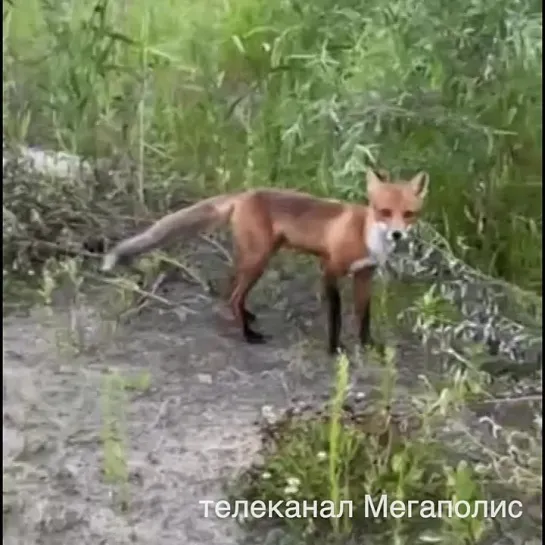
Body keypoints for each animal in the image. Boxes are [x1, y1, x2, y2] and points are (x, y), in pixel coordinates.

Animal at [100, 169, 428, 352]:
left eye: (408, 214)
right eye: (383, 211)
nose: (398, 234)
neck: (365, 234)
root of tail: (244, 194)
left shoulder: (364, 276)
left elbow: (364, 316)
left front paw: (368, 345)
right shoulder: (330, 270)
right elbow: (335, 316)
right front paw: (335, 349)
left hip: (254, 258)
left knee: (231, 289)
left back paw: (245, 316)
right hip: (260, 258)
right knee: (233, 295)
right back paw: (248, 335)